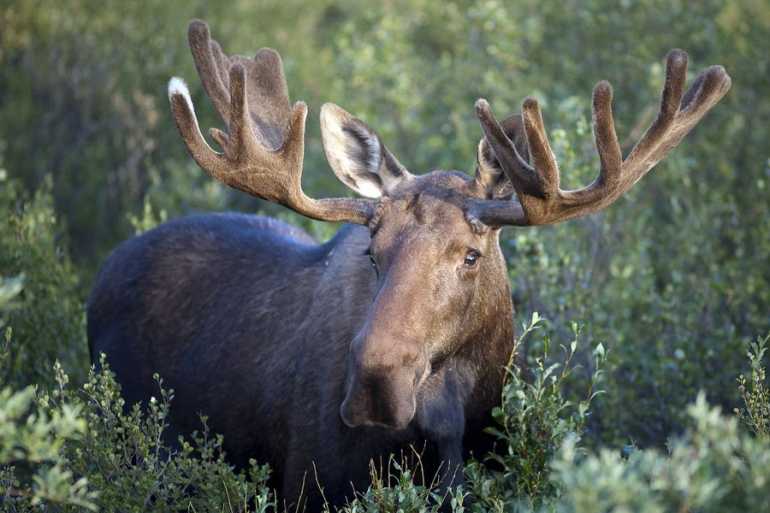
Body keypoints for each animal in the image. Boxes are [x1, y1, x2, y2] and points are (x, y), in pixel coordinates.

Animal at [87, 19, 731, 511]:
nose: (376, 384)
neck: (449, 429)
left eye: (471, 254)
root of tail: (107, 267)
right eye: (372, 253)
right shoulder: (308, 488)